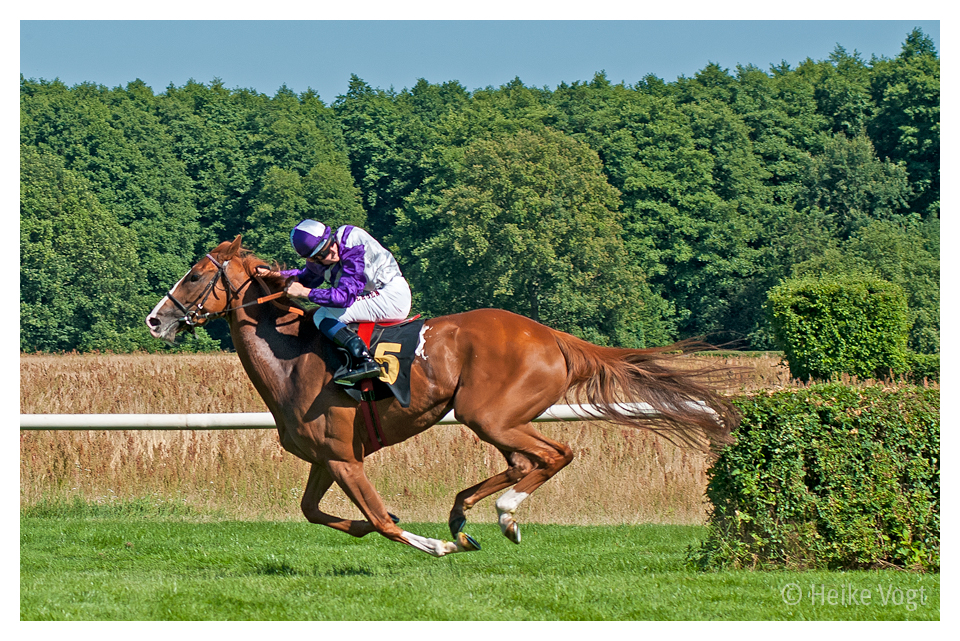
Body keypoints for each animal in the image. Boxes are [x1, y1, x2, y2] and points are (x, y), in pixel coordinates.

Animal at [146, 236, 740, 556]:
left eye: (195, 274)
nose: (156, 319)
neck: (293, 358)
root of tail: (552, 336)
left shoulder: (343, 457)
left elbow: (383, 521)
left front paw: (436, 545)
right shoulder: (328, 456)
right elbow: (316, 512)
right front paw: (408, 527)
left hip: (489, 414)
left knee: (555, 454)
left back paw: (500, 514)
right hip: (496, 418)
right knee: (523, 462)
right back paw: (467, 513)